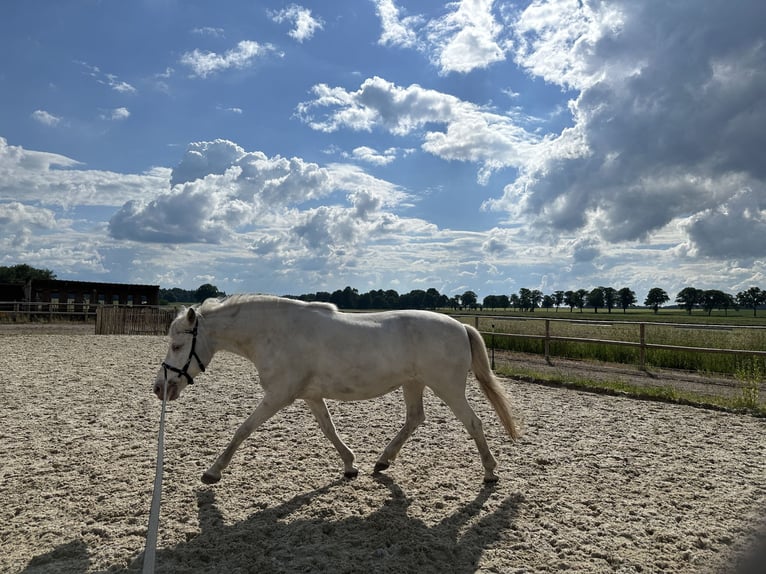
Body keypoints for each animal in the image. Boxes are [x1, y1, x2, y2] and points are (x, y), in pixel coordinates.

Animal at [158, 296, 520, 486]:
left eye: (177, 345)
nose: (160, 388)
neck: (276, 334)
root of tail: (460, 326)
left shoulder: (278, 396)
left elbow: (243, 429)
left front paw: (212, 472)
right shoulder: (310, 396)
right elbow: (329, 429)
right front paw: (350, 465)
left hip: (447, 386)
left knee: (473, 423)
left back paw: (490, 472)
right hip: (414, 383)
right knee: (415, 419)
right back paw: (382, 462)